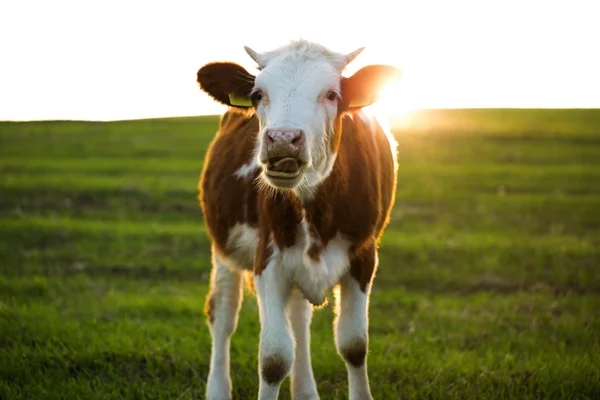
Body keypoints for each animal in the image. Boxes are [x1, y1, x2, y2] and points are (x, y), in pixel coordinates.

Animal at [197, 38, 400, 400]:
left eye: (331, 94)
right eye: (257, 94)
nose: (282, 140)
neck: (316, 209)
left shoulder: (364, 256)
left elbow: (354, 345)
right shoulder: (268, 260)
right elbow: (274, 358)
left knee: (298, 318)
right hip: (223, 249)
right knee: (222, 315)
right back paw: (218, 389)